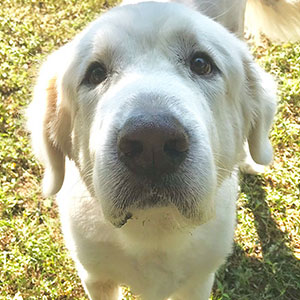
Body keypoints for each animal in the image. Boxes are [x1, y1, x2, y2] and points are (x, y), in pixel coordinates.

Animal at [27, 0, 280, 300]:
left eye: (201, 64)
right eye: (96, 73)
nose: (152, 143)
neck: (155, 230)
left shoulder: (198, 281)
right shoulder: (96, 278)